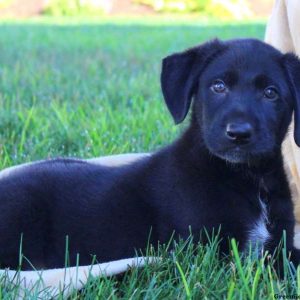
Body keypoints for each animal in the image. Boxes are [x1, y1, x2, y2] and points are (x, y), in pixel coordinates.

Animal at [0, 37, 300, 270]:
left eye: (271, 93)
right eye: (218, 86)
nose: (238, 133)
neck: (249, 177)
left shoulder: (279, 241)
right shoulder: (203, 253)